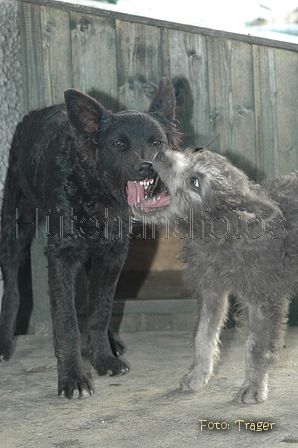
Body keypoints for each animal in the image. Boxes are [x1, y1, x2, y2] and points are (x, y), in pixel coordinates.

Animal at [0, 77, 179, 400]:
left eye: (156, 143)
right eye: (118, 144)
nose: (147, 166)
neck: (94, 190)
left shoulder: (112, 255)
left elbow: (100, 309)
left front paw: (103, 359)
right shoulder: (61, 255)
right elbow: (67, 320)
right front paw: (73, 379)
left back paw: (111, 344)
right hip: (13, 229)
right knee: (12, 288)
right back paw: (6, 343)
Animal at [132, 147, 298, 402]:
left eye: (195, 181)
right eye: (190, 154)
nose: (160, 153)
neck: (227, 233)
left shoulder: (264, 298)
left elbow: (256, 347)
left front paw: (253, 386)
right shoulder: (211, 290)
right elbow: (203, 336)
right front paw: (198, 375)